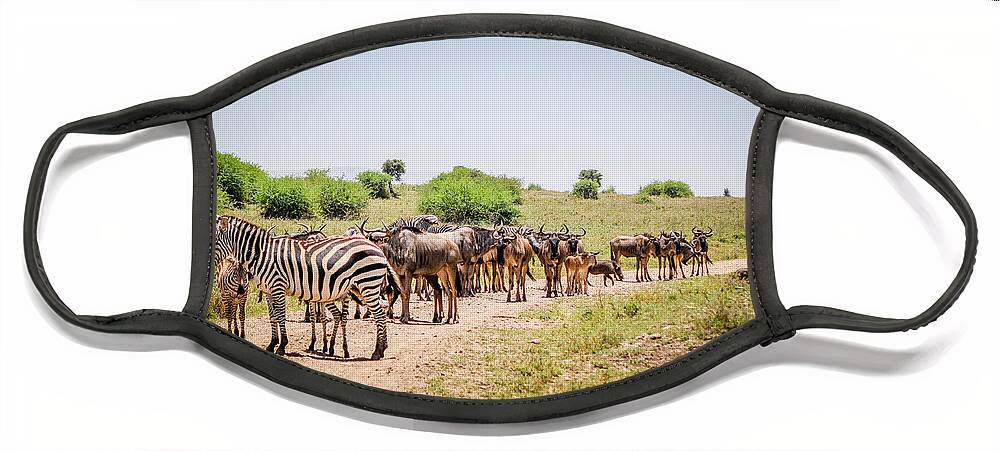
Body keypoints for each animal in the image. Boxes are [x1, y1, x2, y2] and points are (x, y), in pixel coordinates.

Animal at [214, 215, 398, 360]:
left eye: (215, 240)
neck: (264, 256)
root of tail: (377, 248)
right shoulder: (268, 291)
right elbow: (273, 317)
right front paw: (272, 344)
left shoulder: (278, 286)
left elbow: (281, 316)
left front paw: (282, 346)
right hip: (365, 287)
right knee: (380, 311)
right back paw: (382, 348)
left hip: (368, 284)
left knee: (379, 315)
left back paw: (377, 351)